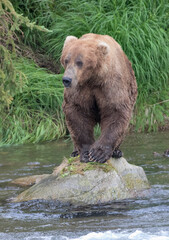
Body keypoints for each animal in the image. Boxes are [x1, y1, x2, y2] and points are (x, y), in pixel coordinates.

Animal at [60, 33, 137, 163]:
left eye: (79, 62)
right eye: (66, 60)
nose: (67, 79)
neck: (93, 78)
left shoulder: (110, 85)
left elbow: (115, 111)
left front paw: (98, 154)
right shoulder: (80, 89)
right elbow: (77, 112)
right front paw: (86, 153)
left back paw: (117, 152)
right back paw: (75, 152)